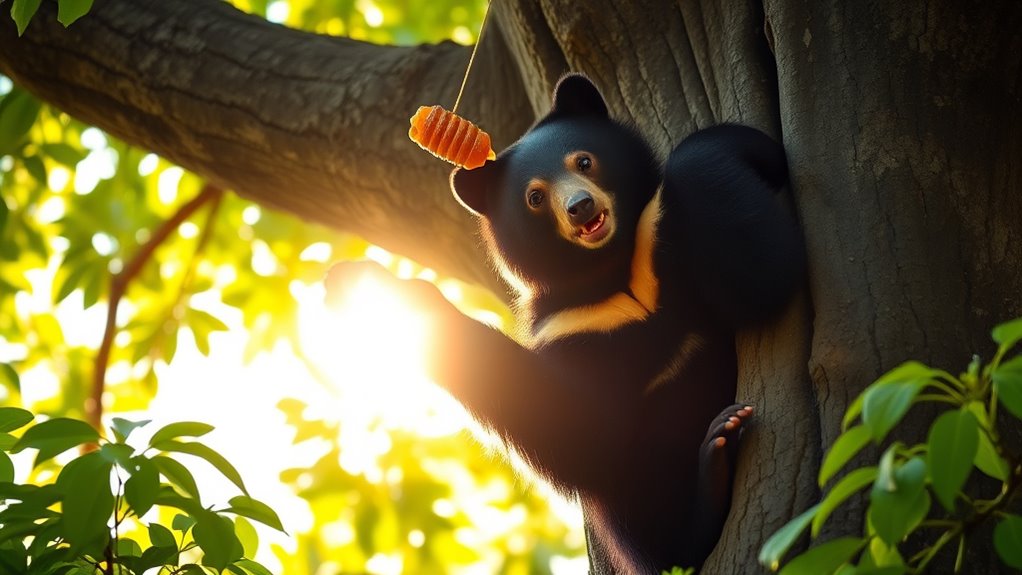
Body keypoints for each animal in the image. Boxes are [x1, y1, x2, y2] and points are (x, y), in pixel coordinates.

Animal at [325, 73, 805, 573]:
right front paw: (360, 285)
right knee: (657, 536)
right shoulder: (575, 330)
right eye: (535, 197)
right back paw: (717, 456)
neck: (615, 277)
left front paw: (758, 147)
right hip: (637, 494)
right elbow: (570, 426)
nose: (580, 207)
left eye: (584, 160)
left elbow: (760, 273)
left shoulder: (667, 249)